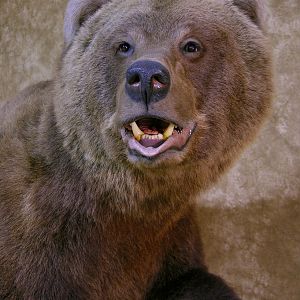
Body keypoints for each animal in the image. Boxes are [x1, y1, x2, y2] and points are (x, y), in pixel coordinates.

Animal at [0, 0, 272, 298]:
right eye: (124, 45)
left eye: (191, 45)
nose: (146, 76)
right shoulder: (42, 249)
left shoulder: (167, 242)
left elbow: (196, 281)